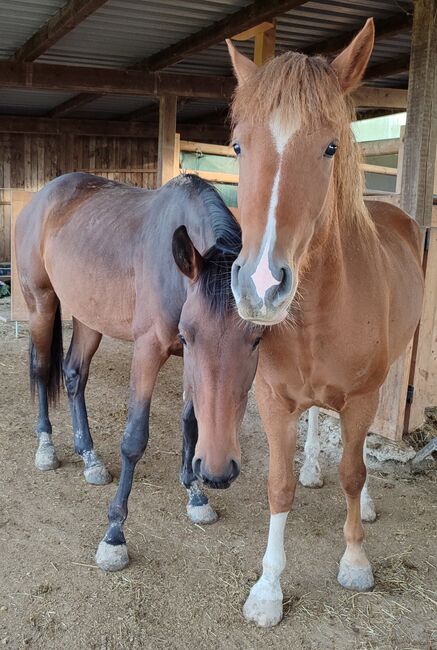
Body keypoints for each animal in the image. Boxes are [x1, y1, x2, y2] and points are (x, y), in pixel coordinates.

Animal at [15, 171, 260, 568]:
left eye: (257, 339)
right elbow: (134, 439)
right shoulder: (149, 350)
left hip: (88, 317)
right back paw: (46, 447)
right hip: (41, 304)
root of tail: (43, 196)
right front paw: (114, 535)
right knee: (40, 369)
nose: (218, 471)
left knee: (74, 375)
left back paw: (90, 457)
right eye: (189, 336)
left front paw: (195, 493)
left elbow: (191, 421)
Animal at [227, 17, 424, 624]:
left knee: (357, 459)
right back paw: (314, 465)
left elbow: (354, 472)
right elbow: (279, 484)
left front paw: (356, 560)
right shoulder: (272, 397)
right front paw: (267, 589)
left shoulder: (360, 398)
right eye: (237, 145)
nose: (260, 285)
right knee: (316, 420)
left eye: (331, 146)